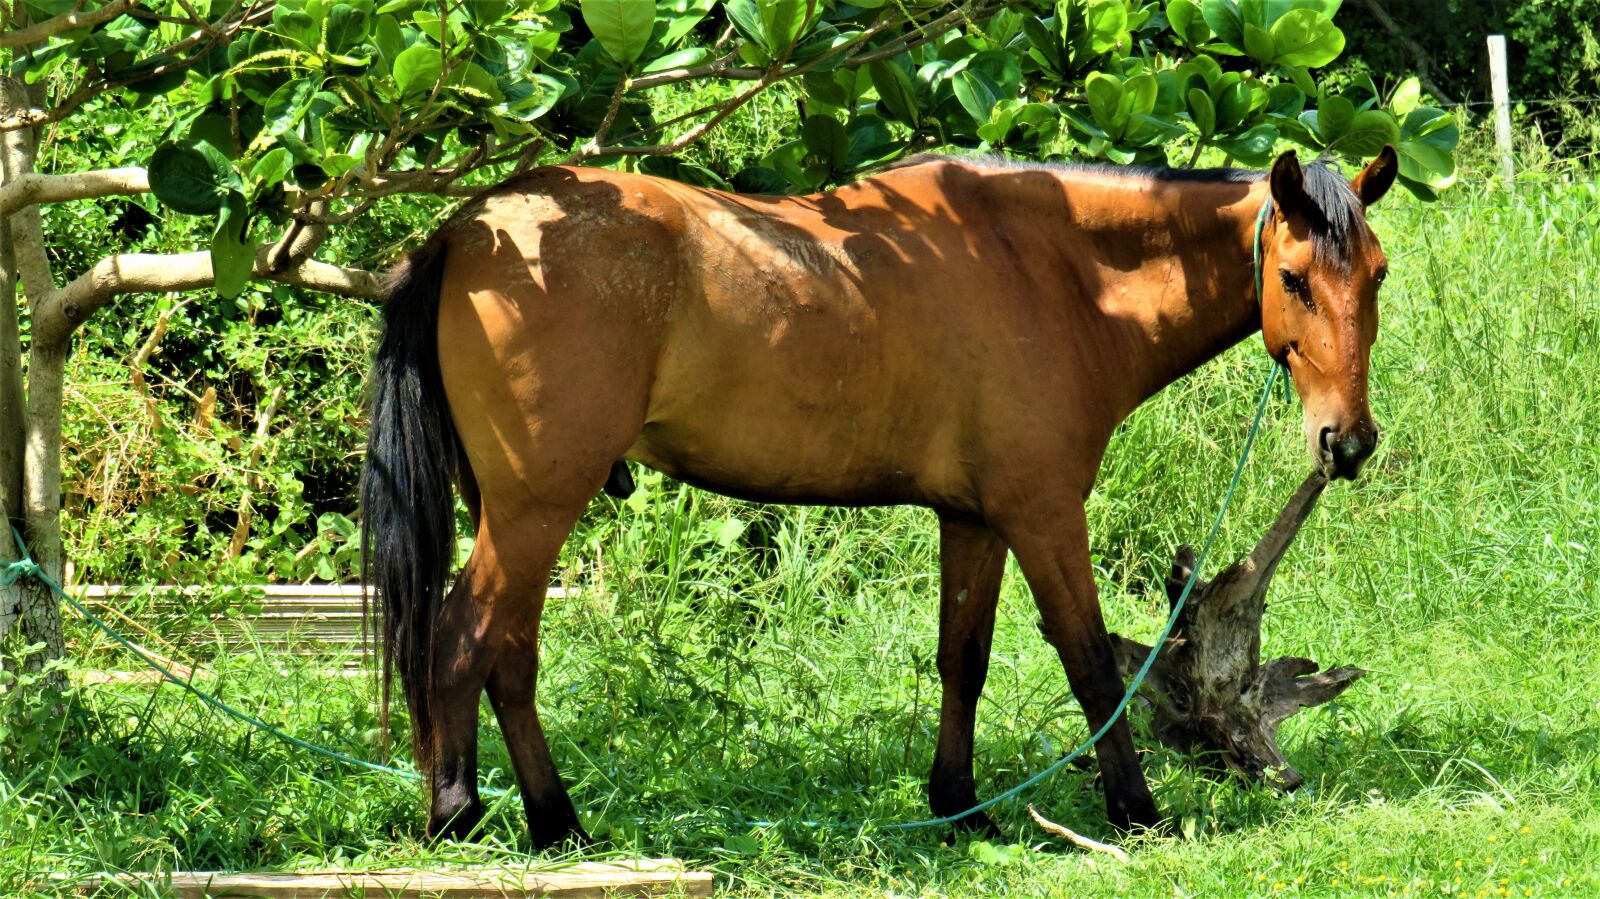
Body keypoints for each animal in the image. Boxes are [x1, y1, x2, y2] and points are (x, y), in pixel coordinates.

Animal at [356, 143, 1395, 844]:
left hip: (516, 511)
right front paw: (1135, 809)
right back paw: (460, 812)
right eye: (1295, 277)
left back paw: (554, 820)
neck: (1050, 269)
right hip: (536, 507)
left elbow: (963, 659)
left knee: (508, 657)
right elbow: (1093, 663)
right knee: (462, 640)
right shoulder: (1043, 512)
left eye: (1377, 275)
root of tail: (472, 226)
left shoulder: (974, 519)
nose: (1346, 442)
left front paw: (958, 805)